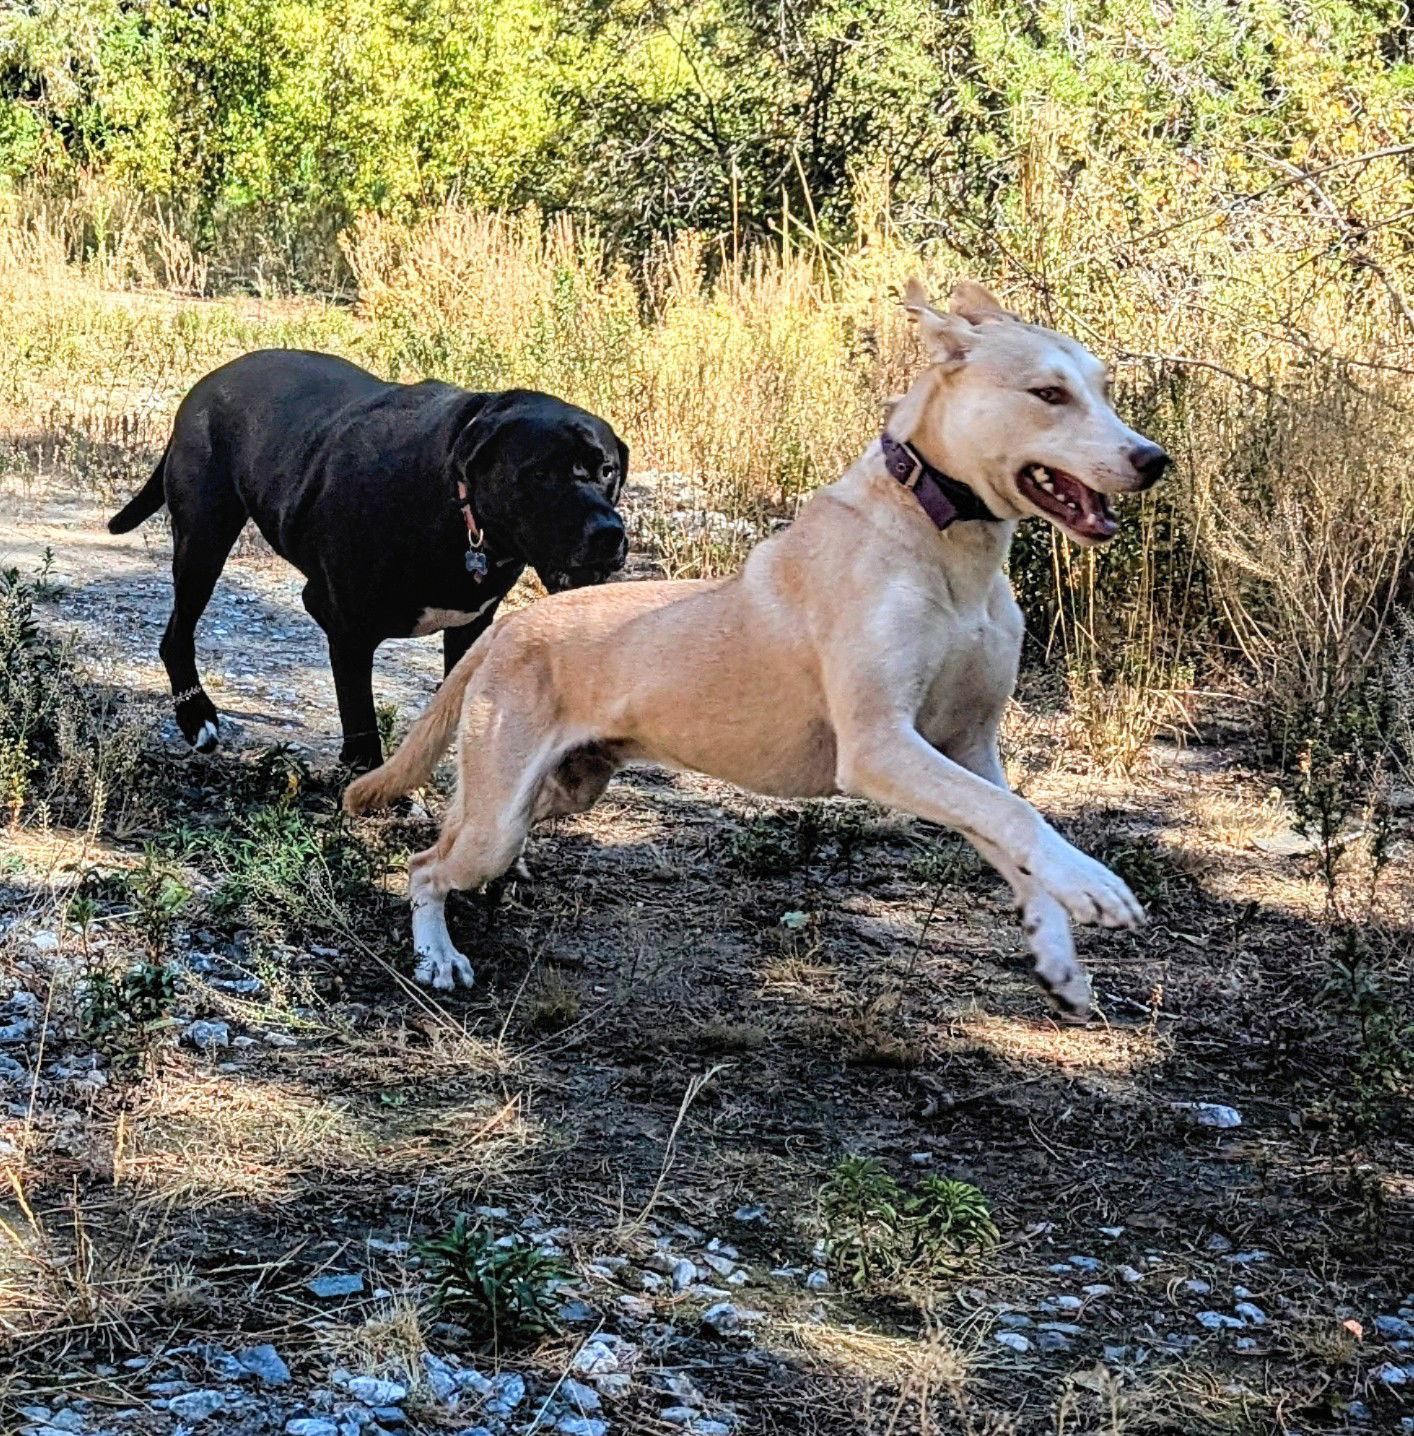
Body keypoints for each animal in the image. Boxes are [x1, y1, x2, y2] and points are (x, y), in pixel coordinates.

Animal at [113, 348, 631, 775]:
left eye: (608, 470)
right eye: (540, 473)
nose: (609, 533)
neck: (458, 508)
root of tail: (209, 381)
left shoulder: (471, 626)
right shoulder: (344, 621)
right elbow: (359, 712)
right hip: (204, 541)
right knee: (177, 635)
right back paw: (195, 715)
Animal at [347, 280, 1165, 1016]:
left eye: (1102, 389)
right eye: (1048, 393)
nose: (1153, 459)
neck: (943, 544)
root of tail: (510, 626)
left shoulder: (968, 748)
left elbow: (1011, 829)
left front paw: (1060, 957)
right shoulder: (880, 747)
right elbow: (1018, 817)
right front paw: (1097, 886)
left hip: (561, 790)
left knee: (450, 838)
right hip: (500, 815)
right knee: (425, 866)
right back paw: (438, 957)